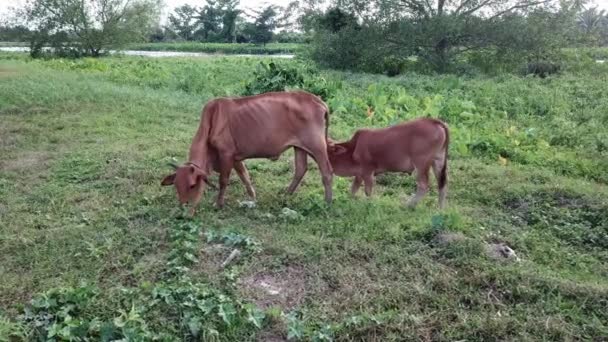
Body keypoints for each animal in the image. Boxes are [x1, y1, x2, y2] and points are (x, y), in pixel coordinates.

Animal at [160, 91, 332, 214]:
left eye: (192, 185)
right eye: (176, 185)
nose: (183, 208)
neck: (213, 119)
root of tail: (318, 101)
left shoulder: (226, 154)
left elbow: (223, 180)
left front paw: (218, 203)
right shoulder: (235, 158)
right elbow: (245, 176)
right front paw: (252, 198)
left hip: (317, 146)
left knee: (327, 172)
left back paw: (327, 202)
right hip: (300, 147)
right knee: (300, 169)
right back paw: (285, 196)